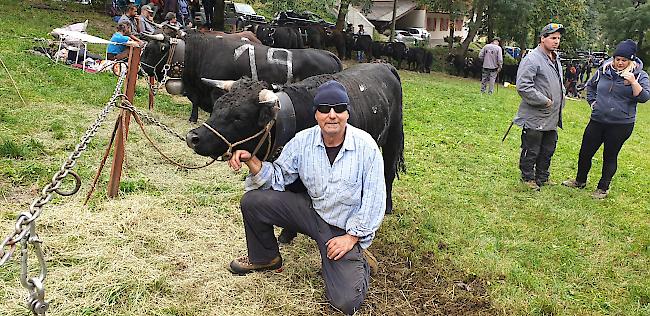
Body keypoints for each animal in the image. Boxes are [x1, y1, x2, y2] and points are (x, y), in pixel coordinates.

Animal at [185, 62, 402, 214]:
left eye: (239, 117)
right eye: (217, 105)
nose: (192, 137)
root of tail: (384, 65)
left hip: (393, 139)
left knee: (388, 173)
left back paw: (387, 206)